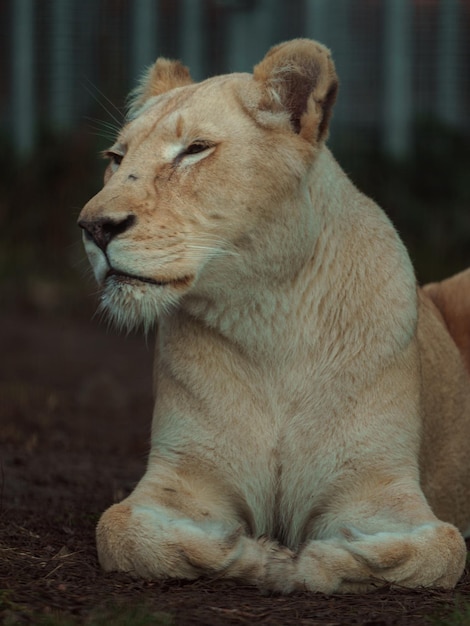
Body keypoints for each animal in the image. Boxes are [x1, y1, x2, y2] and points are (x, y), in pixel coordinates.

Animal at [77, 39, 470, 588]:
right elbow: (119, 529)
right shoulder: (183, 476)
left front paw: (310, 561)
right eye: (116, 158)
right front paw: (255, 556)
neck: (270, 318)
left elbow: (441, 548)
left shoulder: (379, 486)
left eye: (194, 149)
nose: (93, 227)